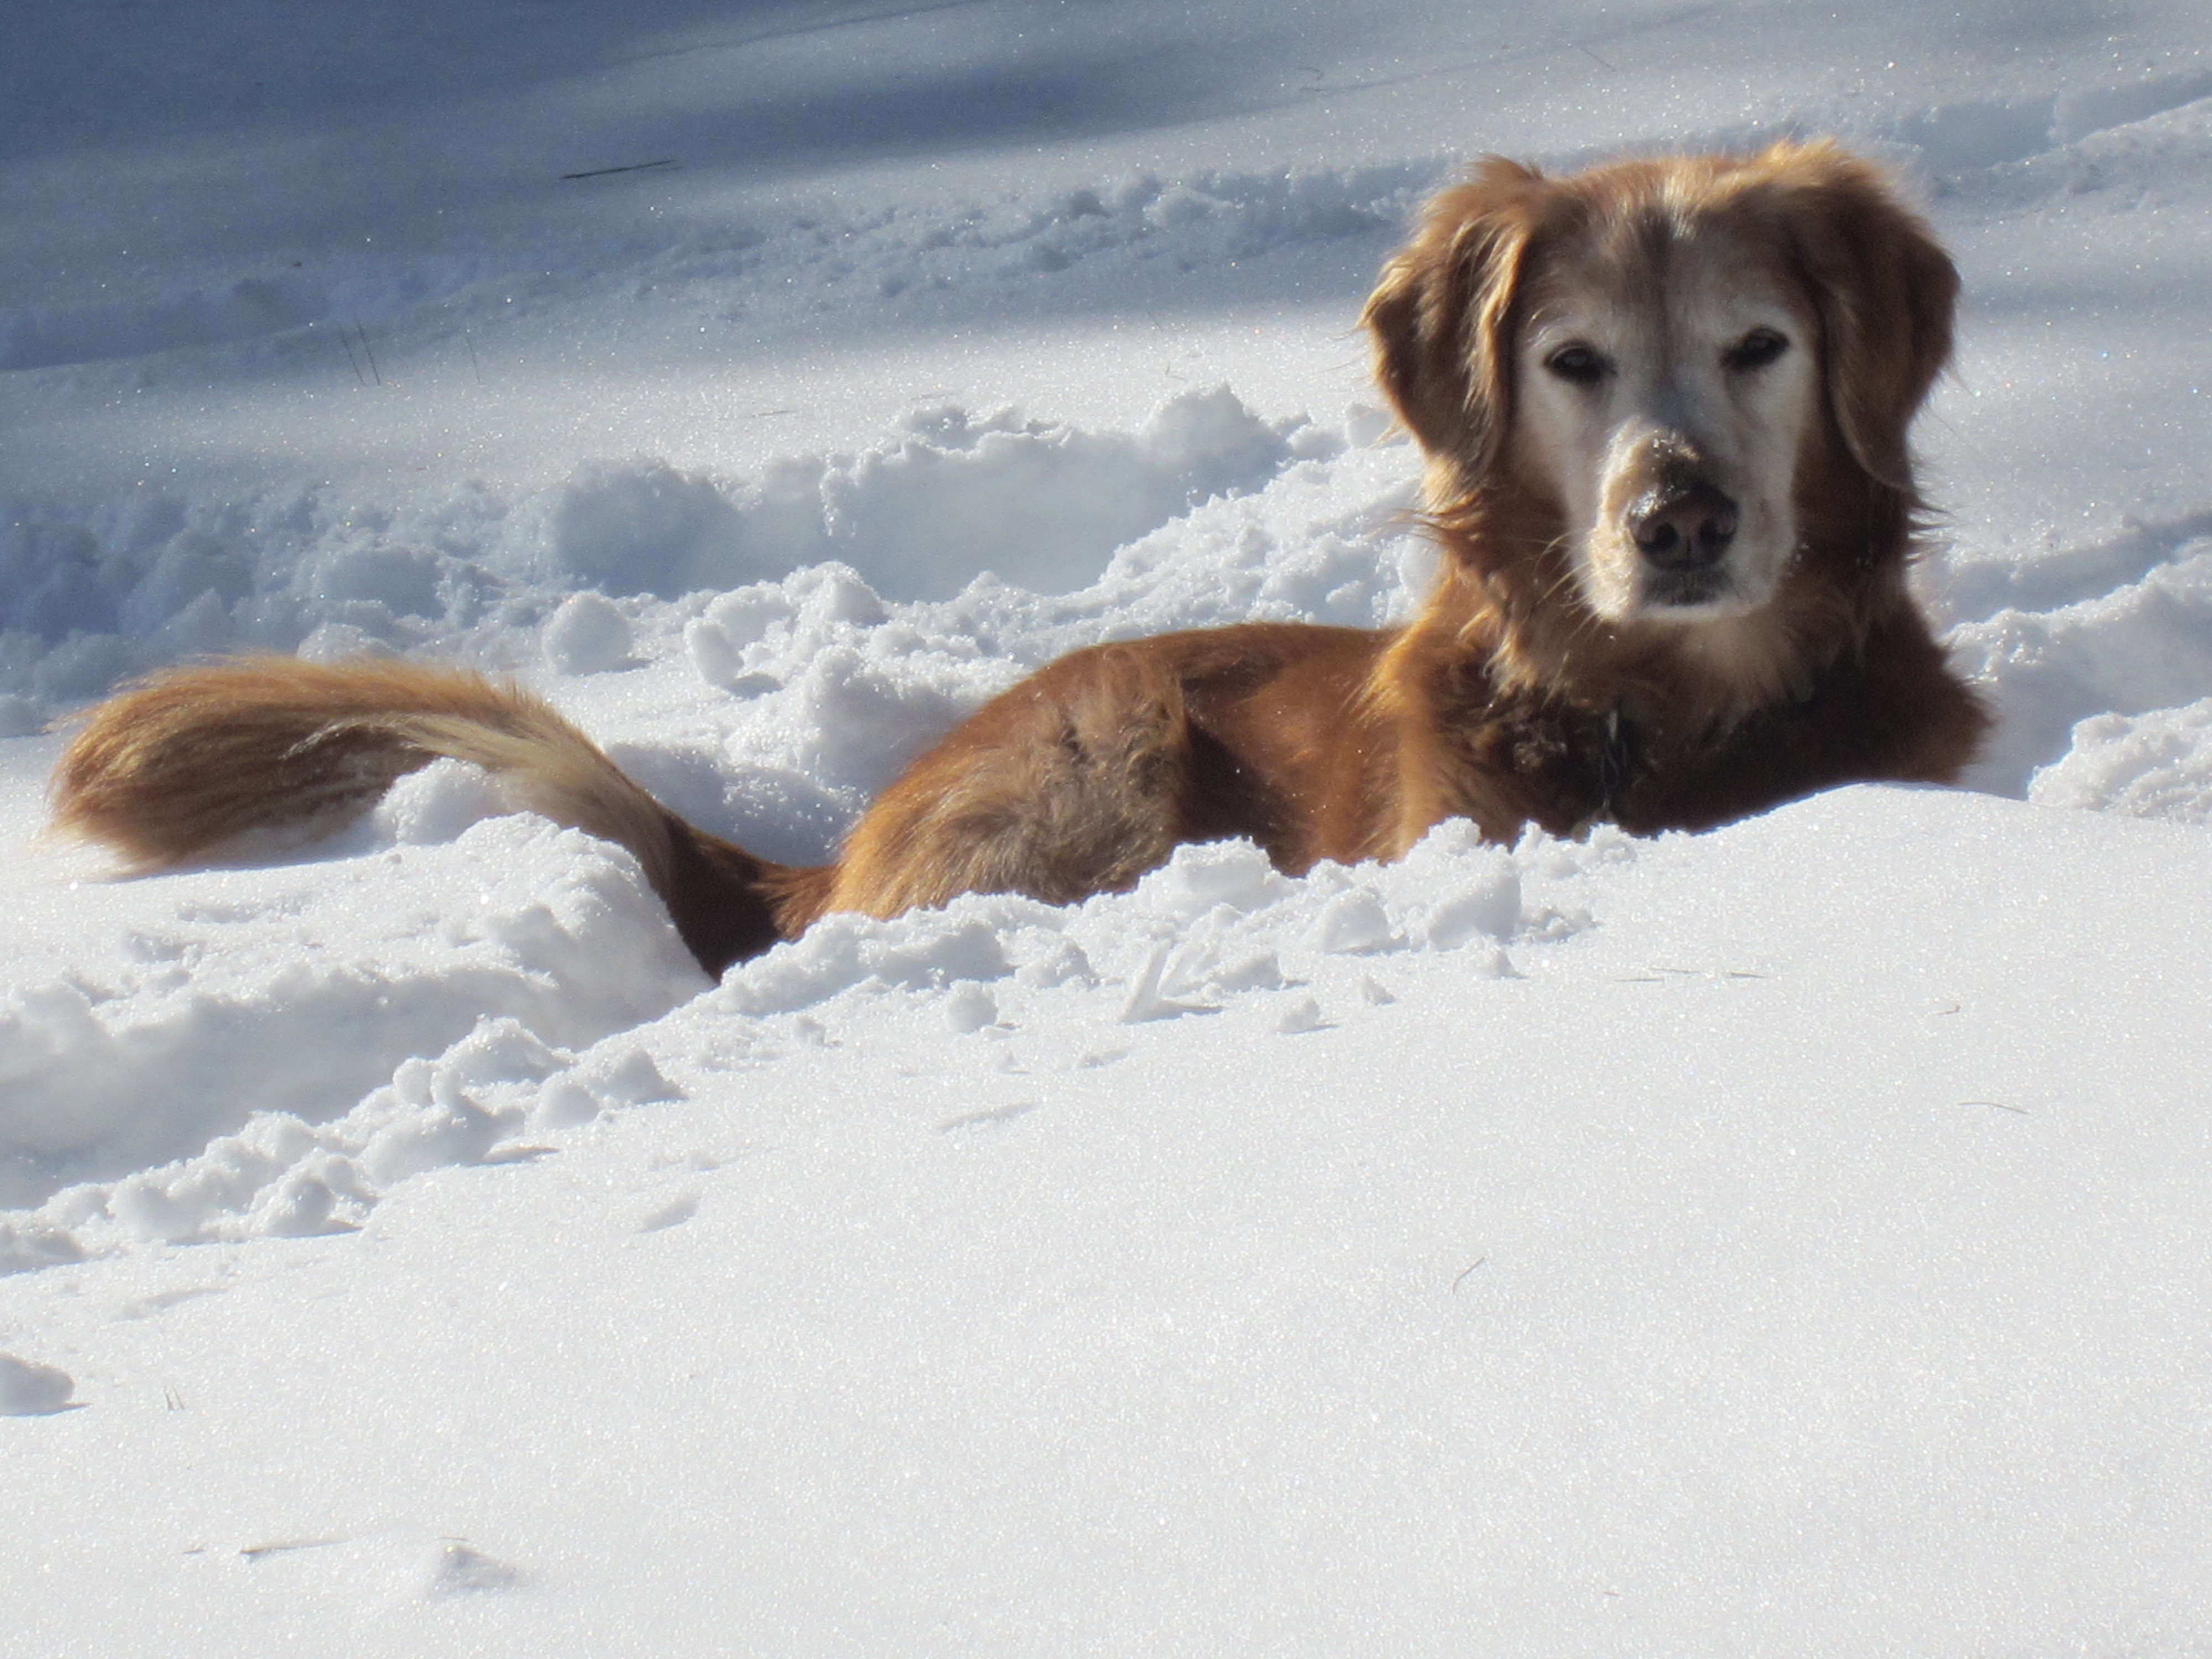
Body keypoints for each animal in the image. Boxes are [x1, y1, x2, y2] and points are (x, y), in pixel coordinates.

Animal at [51, 141, 1987, 977]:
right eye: (1573, 363)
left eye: (1758, 346)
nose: (1679, 523)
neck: (1669, 722)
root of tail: (833, 850)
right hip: (1100, 757)